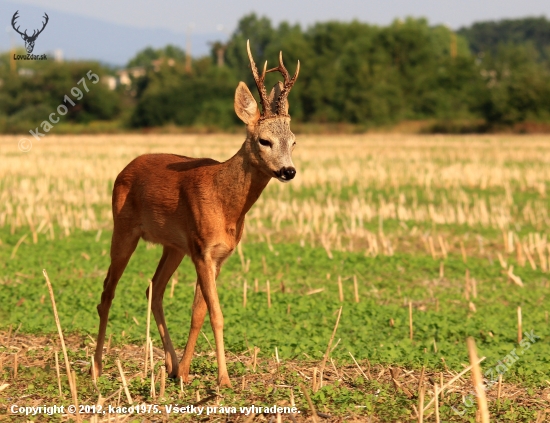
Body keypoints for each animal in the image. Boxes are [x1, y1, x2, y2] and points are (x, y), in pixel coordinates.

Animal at [92, 40, 300, 388]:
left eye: (294, 141)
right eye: (264, 140)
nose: (288, 171)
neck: (225, 202)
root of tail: (125, 168)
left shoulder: (217, 255)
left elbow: (198, 312)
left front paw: (186, 372)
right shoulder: (202, 249)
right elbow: (216, 314)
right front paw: (224, 380)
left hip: (173, 246)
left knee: (153, 288)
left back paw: (171, 365)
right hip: (123, 229)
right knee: (108, 291)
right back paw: (95, 368)